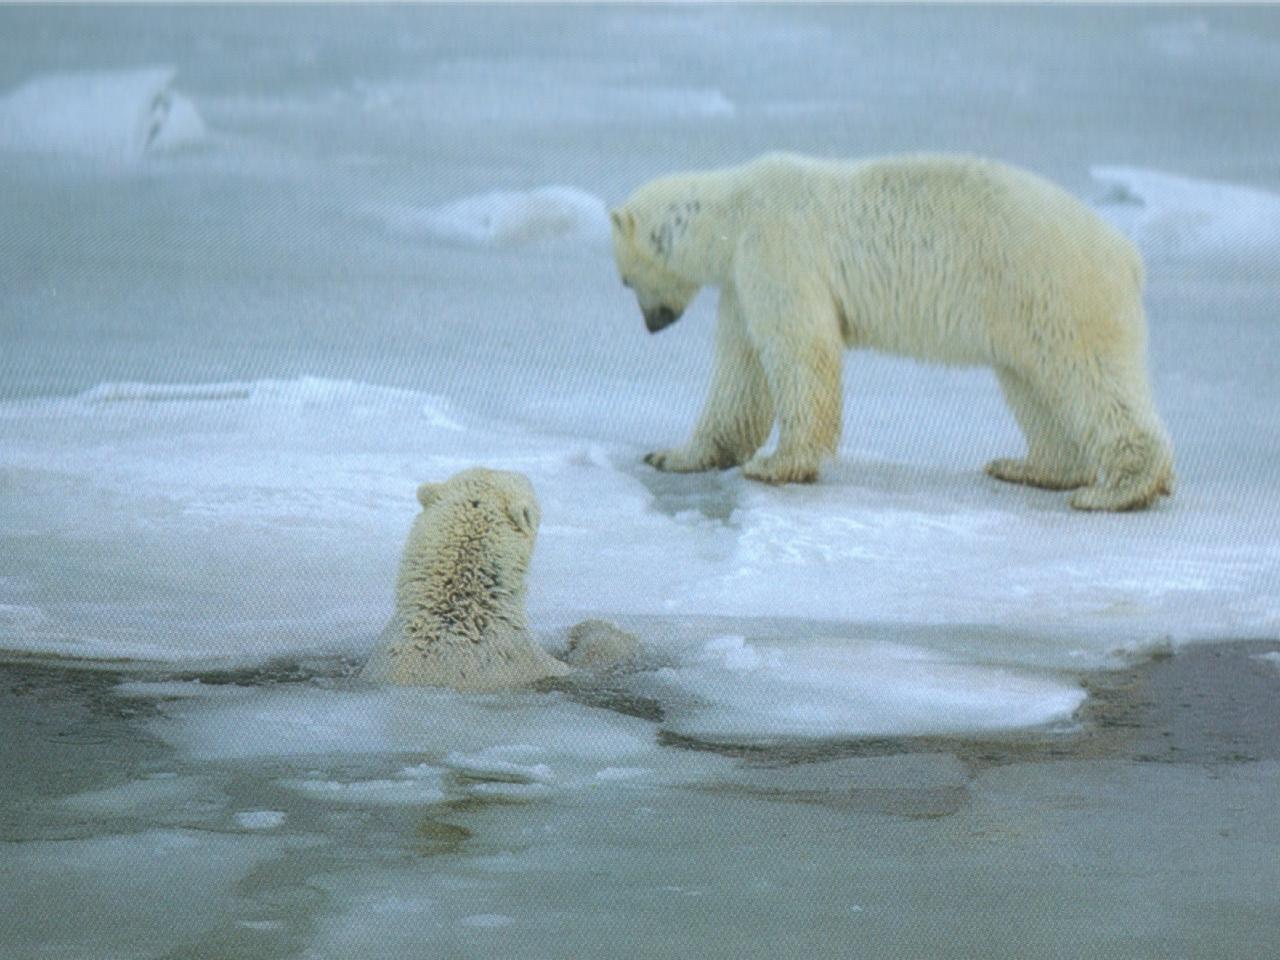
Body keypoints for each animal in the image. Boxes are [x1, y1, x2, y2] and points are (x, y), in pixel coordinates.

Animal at [614, 152, 1172, 512]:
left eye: (625, 280)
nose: (652, 324)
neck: (734, 208)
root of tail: (1127, 252)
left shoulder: (777, 249)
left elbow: (800, 351)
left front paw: (778, 464)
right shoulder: (741, 280)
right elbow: (741, 370)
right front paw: (674, 455)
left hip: (1053, 289)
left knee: (1090, 377)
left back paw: (1118, 490)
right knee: (1033, 385)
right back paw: (1031, 466)